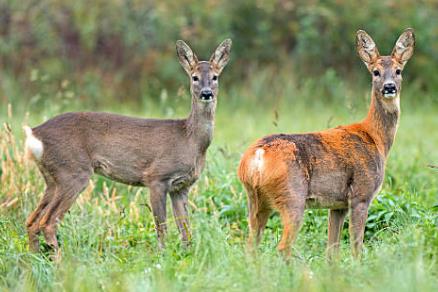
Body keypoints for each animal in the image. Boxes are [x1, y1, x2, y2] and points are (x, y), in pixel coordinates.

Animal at [23, 38, 231, 256]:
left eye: (215, 77)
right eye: (194, 77)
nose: (206, 93)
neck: (191, 140)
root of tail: (34, 133)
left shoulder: (181, 187)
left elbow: (186, 230)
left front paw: (186, 255)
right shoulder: (156, 177)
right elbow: (162, 227)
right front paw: (162, 256)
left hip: (52, 178)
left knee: (32, 221)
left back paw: (34, 258)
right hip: (72, 171)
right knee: (47, 222)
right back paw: (60, 260)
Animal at [238, 29, 416, 258]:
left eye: (398, 70)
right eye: (375, 72)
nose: (389, 87)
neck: (375, 138)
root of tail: (257, 156)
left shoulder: (337, 205)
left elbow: (332, 250)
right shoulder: (361, 194)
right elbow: (356, 247)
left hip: (255, 198)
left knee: (251, 245)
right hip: (292, 197)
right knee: (283, 246)